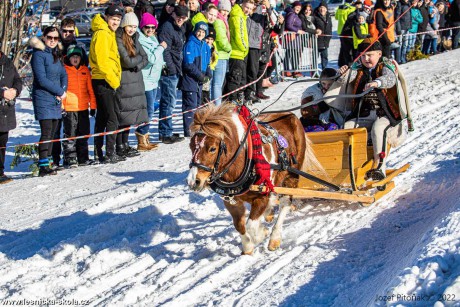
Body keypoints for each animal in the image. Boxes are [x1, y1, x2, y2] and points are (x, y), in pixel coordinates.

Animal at [187, 104, 320, 255]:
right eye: (191, 146)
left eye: (212, 149)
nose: (193, 182)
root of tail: (290, 115)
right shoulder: (231, 202)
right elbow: (239, 225)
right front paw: (247, 247)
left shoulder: (261, 197)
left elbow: (250, 225)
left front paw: (262, 233)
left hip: (292, 175)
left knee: (285, 203)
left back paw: (274, 238)